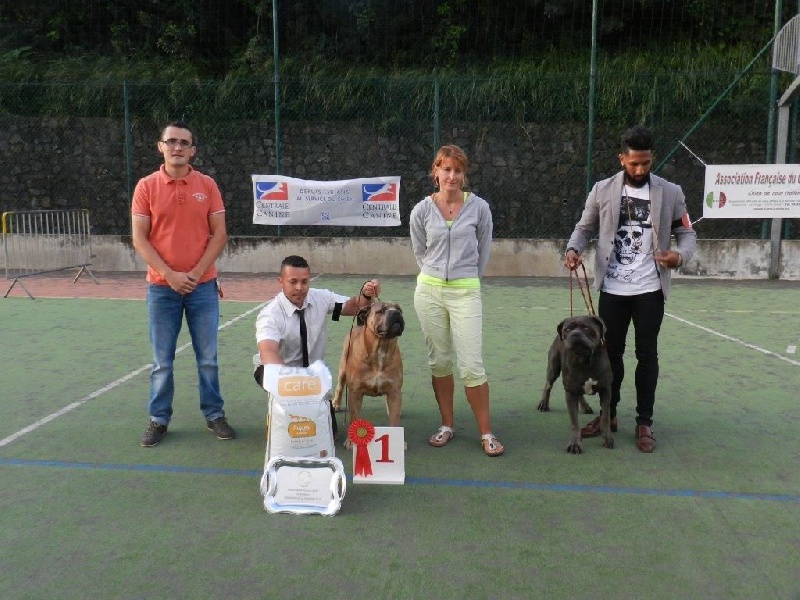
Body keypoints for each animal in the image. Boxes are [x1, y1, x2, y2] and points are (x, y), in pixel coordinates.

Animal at [331, 301, 405, 449]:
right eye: (381, 311)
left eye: (399, 310)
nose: (396, 313)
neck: (381, 348)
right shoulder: (355, 393)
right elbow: (354, 417)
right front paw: (351, 442)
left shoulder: (394, 390)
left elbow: (394, 418)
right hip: (343, 368)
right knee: (340, 386)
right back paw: (336, 403)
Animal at [537, 315, 614, 454]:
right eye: (567, 329)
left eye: (586, 327)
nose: (575, 334)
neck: (585, 360)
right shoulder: (570, 392)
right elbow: (574, 421)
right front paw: (574, 444)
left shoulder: (606, 390)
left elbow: (605, 416)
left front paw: (607, 438)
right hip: (553, 368)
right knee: (548, 385)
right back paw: (543, 404)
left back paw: (585, 406)